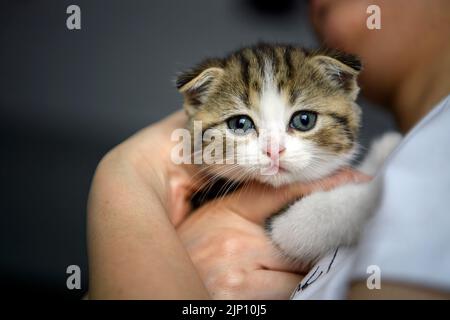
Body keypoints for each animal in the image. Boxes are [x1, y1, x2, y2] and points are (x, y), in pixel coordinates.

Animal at [176, 43, 400, 264]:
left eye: (304, 120)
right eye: (240, 124)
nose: (274, 149)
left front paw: (387, 149)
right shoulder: (280, 225)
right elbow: (318, 216)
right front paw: (378, 192)